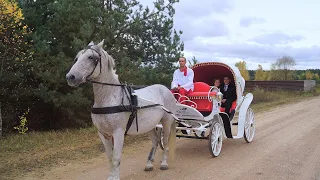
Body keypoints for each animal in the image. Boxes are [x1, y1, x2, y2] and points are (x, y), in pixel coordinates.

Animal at [65, 40, 178, 179]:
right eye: (77, 58)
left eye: (91, 57)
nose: (70, 77)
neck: (109, 98)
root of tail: (166, 89)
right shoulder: (103, 134)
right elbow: (110, 157)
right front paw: (111, 176)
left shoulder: (118, 132)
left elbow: (116, 158)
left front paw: (115, 177)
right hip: (149, 125)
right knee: (156, 141)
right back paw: (149, 164)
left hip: (166, 122)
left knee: (165, 142)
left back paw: (164, 163)